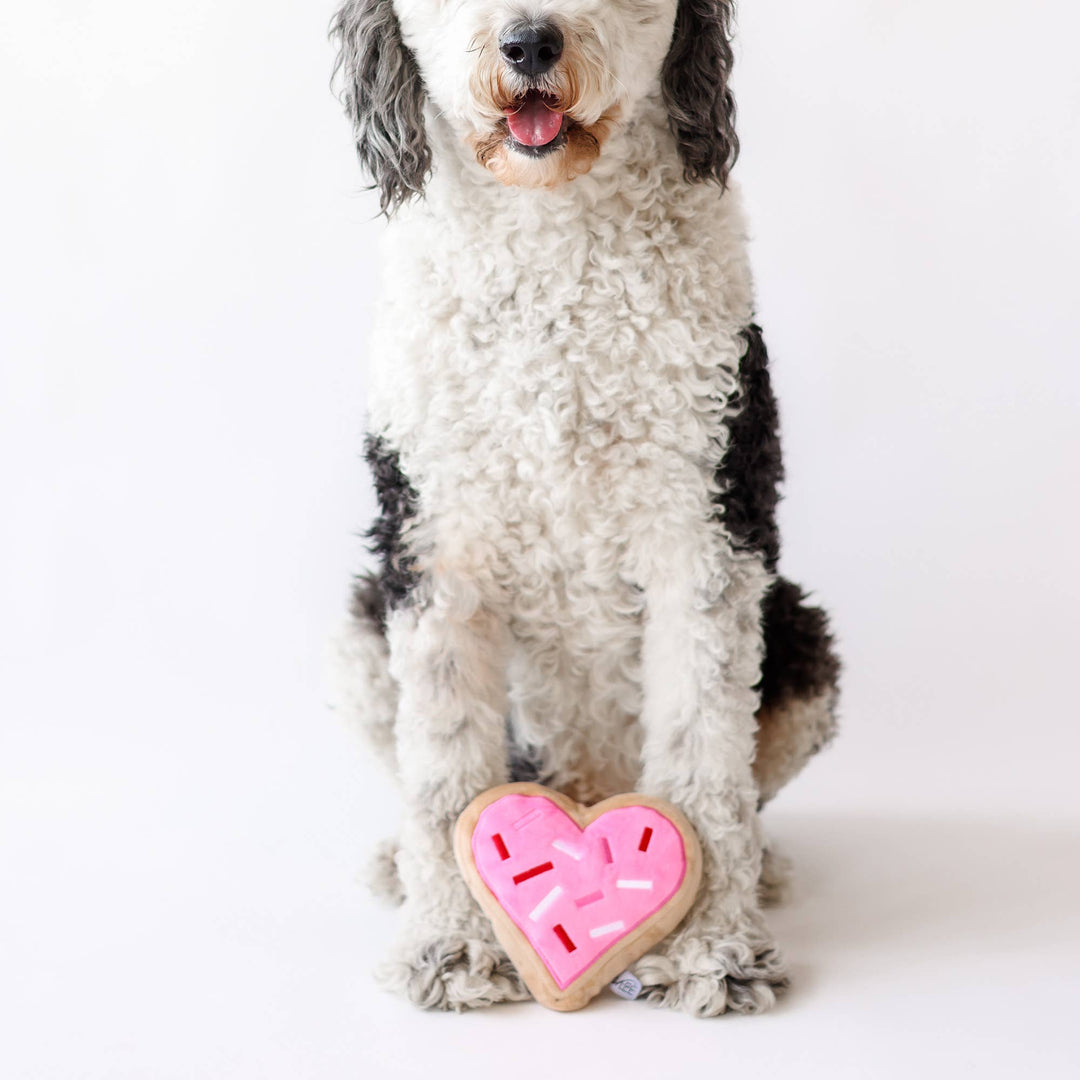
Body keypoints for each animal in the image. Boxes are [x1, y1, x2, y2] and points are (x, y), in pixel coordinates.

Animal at [326, 0, 833, 1015]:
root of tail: (585, 792)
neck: (552, 242)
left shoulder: (707, 532)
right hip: (362, 624)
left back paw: (760, 872)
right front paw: (451, 944)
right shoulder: (432, 548)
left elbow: (705, 754)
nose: (529, 43)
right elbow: (444, 768)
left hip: (801, 642)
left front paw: (710, 949)